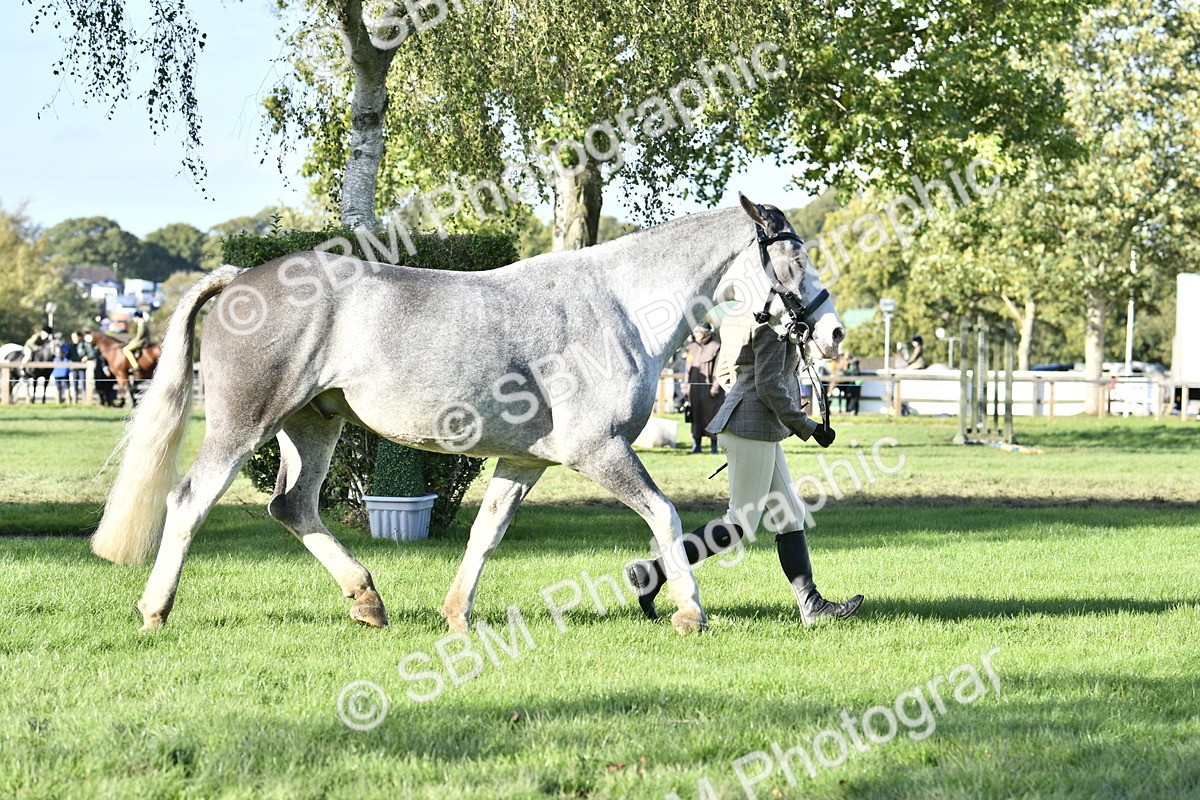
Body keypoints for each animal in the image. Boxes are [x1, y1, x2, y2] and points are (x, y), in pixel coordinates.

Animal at [90, 196, 845, 634]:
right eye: (793, 255)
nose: (834, 333)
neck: (620, 304)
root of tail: (239, 280)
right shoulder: (598, 451)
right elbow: (663, 513)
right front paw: (690, 611)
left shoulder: (523, 461)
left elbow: (486, 533)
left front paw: (456, 615)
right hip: (245, 423)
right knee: (189, 501)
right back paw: (155, 611)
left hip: (314, 424)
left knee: (294, 507)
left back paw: (368, 602)